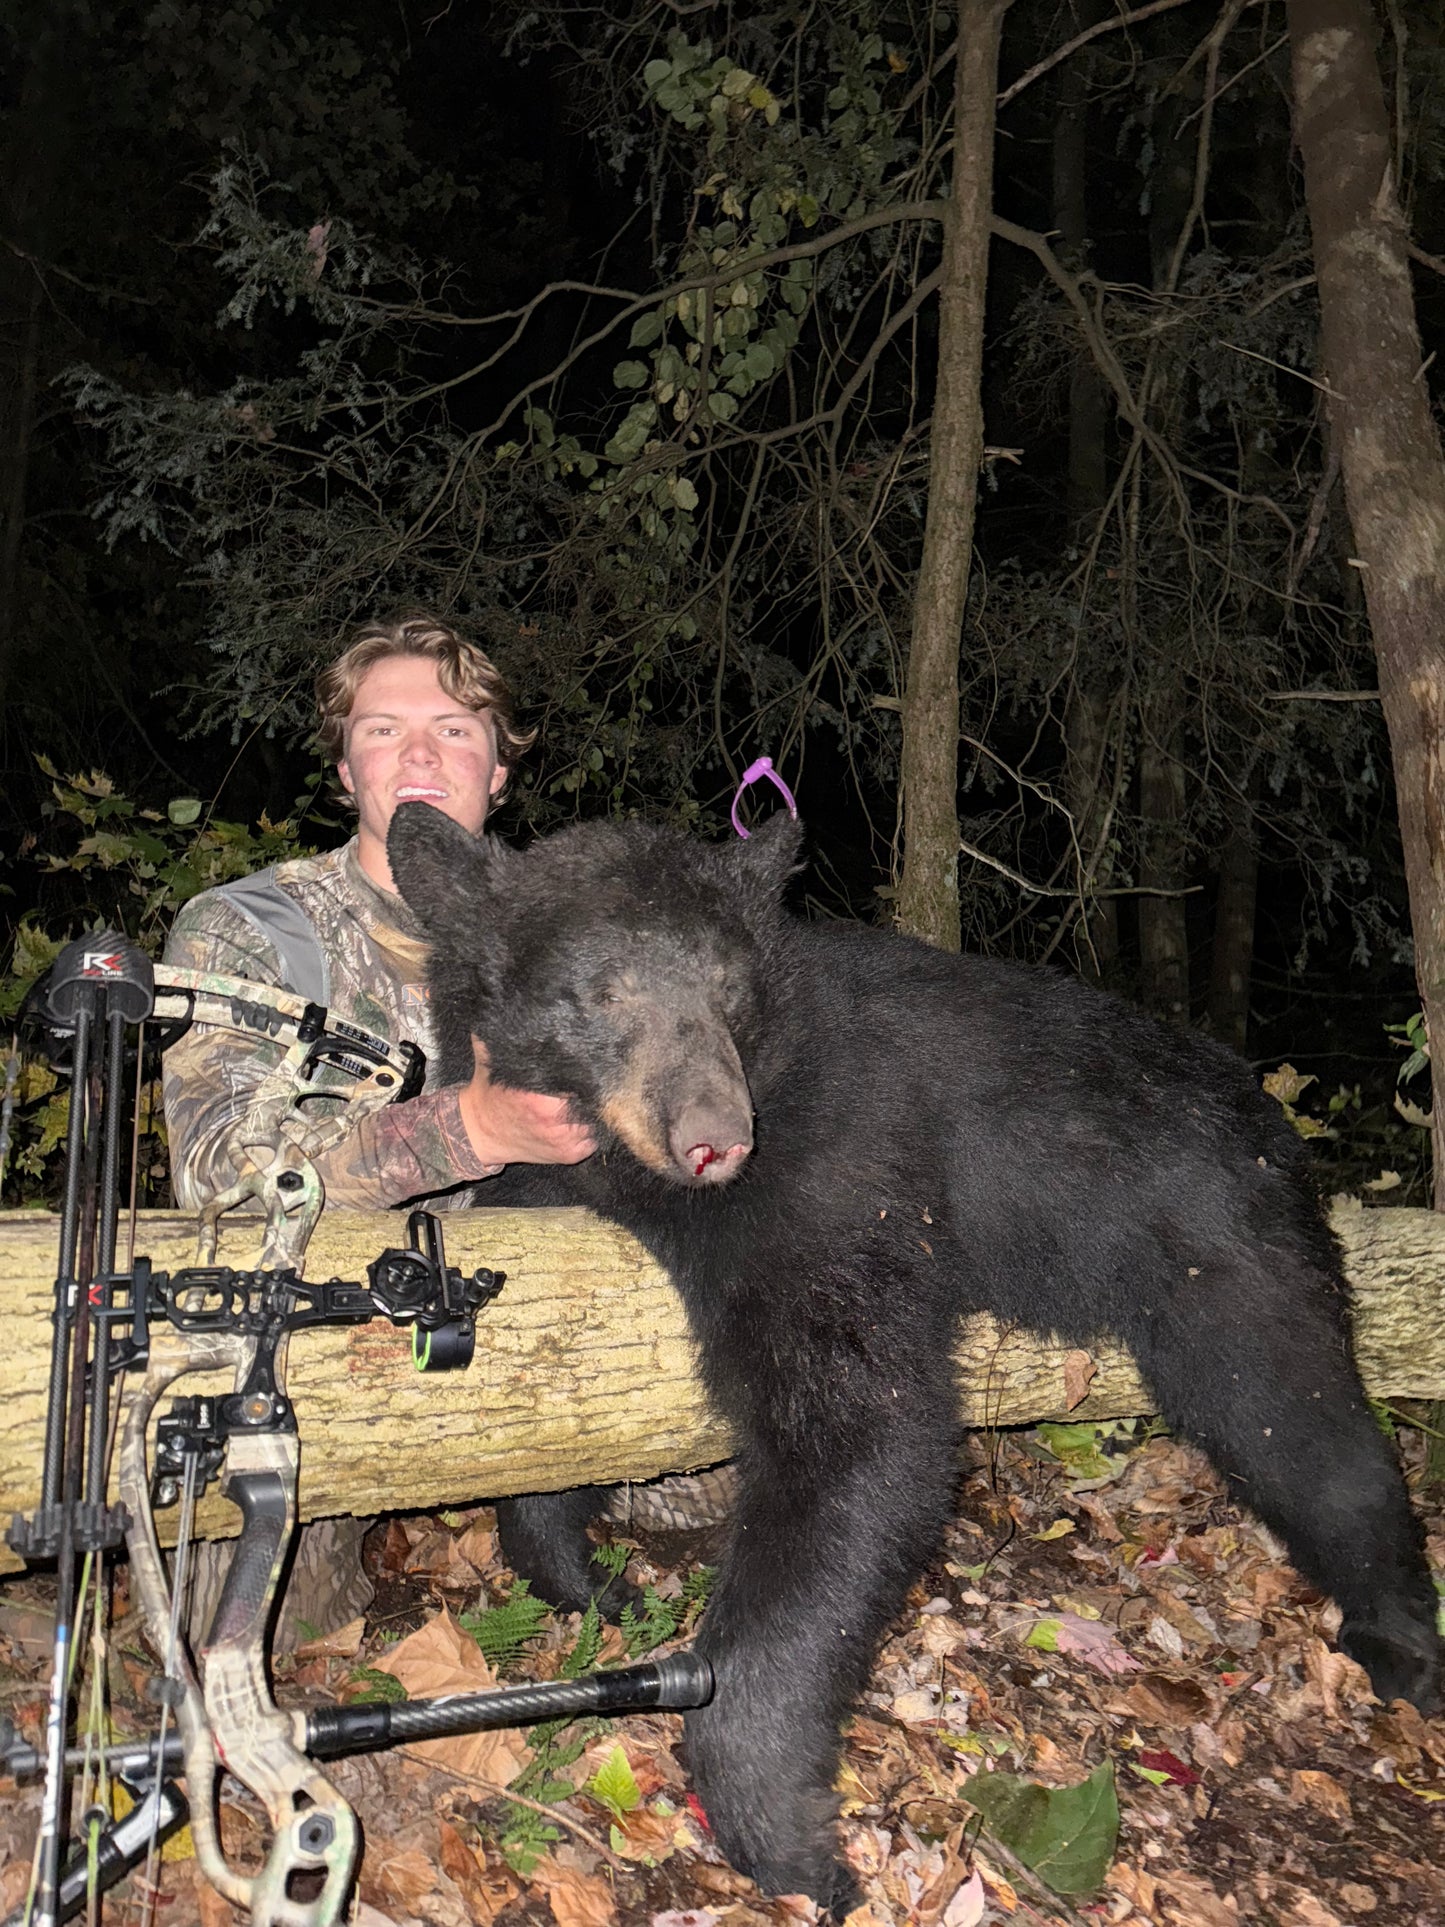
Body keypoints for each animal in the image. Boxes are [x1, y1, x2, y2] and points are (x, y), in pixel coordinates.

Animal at [387, 801, 1442, 1915]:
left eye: (726, 987)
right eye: (598, 990)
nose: (716, 1135)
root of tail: (1264, 1111)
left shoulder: (833, 1177)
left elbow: (859, 1431)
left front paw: (779, 1825)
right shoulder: (542, 1196)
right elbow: (548, 1392)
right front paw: (588, 1578)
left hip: (1217, 1243)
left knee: (1297, 1418)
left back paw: (1397, 1636)